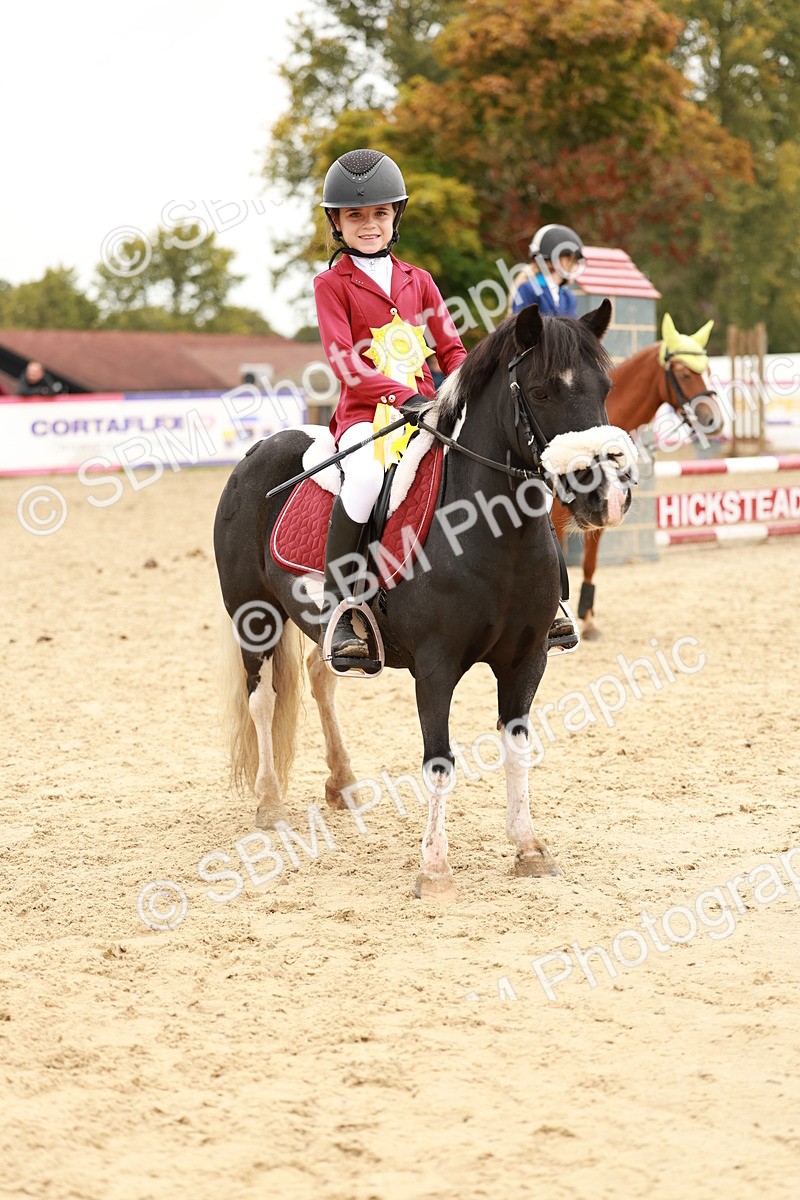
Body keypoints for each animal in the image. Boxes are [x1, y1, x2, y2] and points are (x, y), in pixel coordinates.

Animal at [213, 299, 638, 900]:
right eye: (541, 392)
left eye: (606, 388)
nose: (608, 495)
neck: (493, 536)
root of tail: (259, 447)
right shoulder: (436, 667)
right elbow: (439, 761)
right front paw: (434, 870)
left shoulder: (527, 660)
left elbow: (517, 747)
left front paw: (529, 849)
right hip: (254, 617)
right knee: (262, 701)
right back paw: (270, 805)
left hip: (321, 624)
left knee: (322, 680)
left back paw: (343, 783)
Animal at [551, 315, 719, 637]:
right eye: (684, 373)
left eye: (707, 371)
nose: (713, 419)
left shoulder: (603, 508)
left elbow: (590, 562)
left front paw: (587, 618)